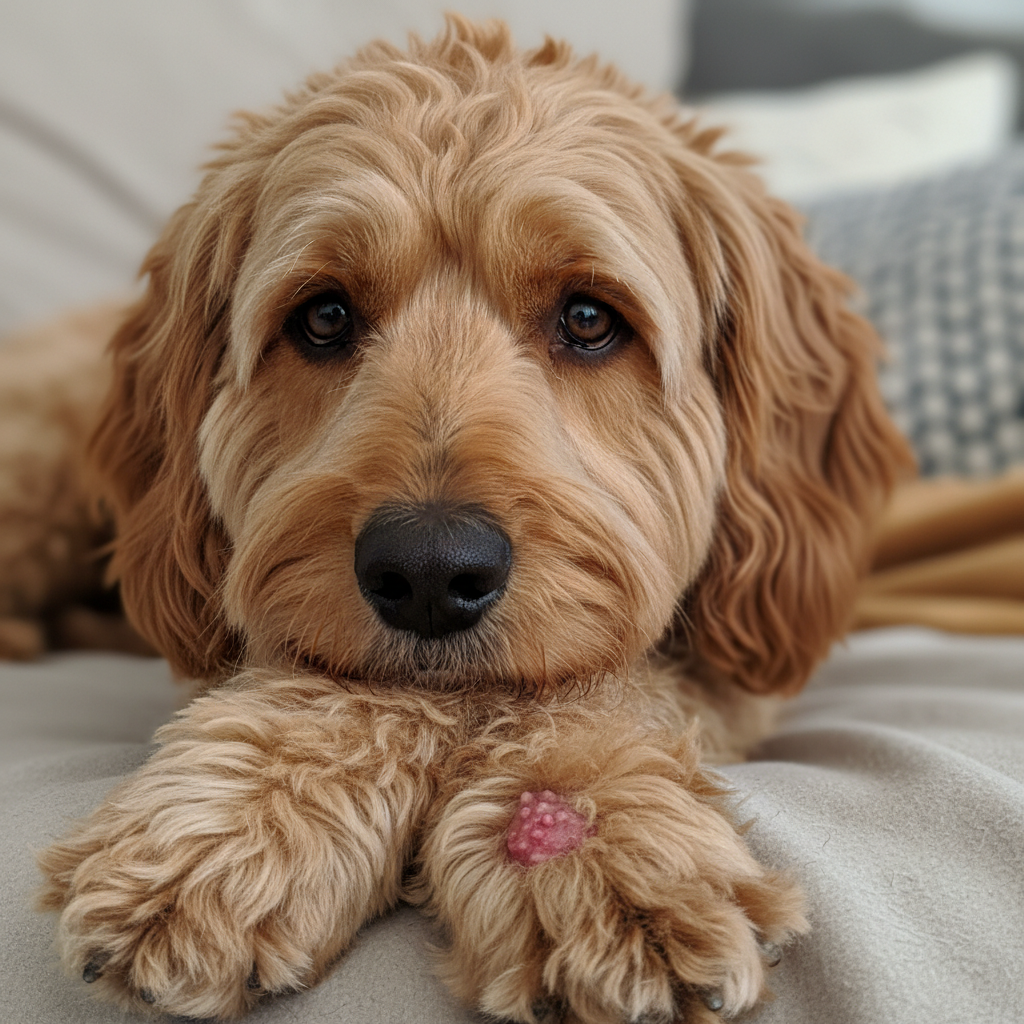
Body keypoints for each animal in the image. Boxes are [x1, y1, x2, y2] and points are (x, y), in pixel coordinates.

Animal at [3, 15, 911, 1023]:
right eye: (323, 316)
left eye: (589, 318)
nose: (430, 571)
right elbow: (355, 686)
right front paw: (239, 824)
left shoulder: (739, 646)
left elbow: (586, 687)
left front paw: (599, 851)